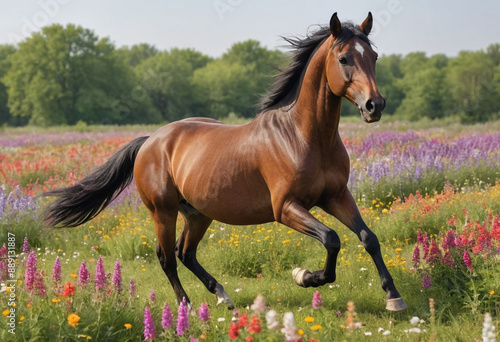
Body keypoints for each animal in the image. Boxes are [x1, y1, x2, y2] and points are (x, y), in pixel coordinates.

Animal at [43, 12, 408, 312]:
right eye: (344, 58)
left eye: (374, 56)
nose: (375, 105)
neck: (304, 136)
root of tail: (150, 140)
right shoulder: (286, 207)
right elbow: (332, 239)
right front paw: (304, 276)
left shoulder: (335, 196)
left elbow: (368, 237)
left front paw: (394, 297)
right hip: (163, 210)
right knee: (167, 258)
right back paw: (186, 307)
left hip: (198, 213)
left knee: (185, 253)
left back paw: (222, 295)